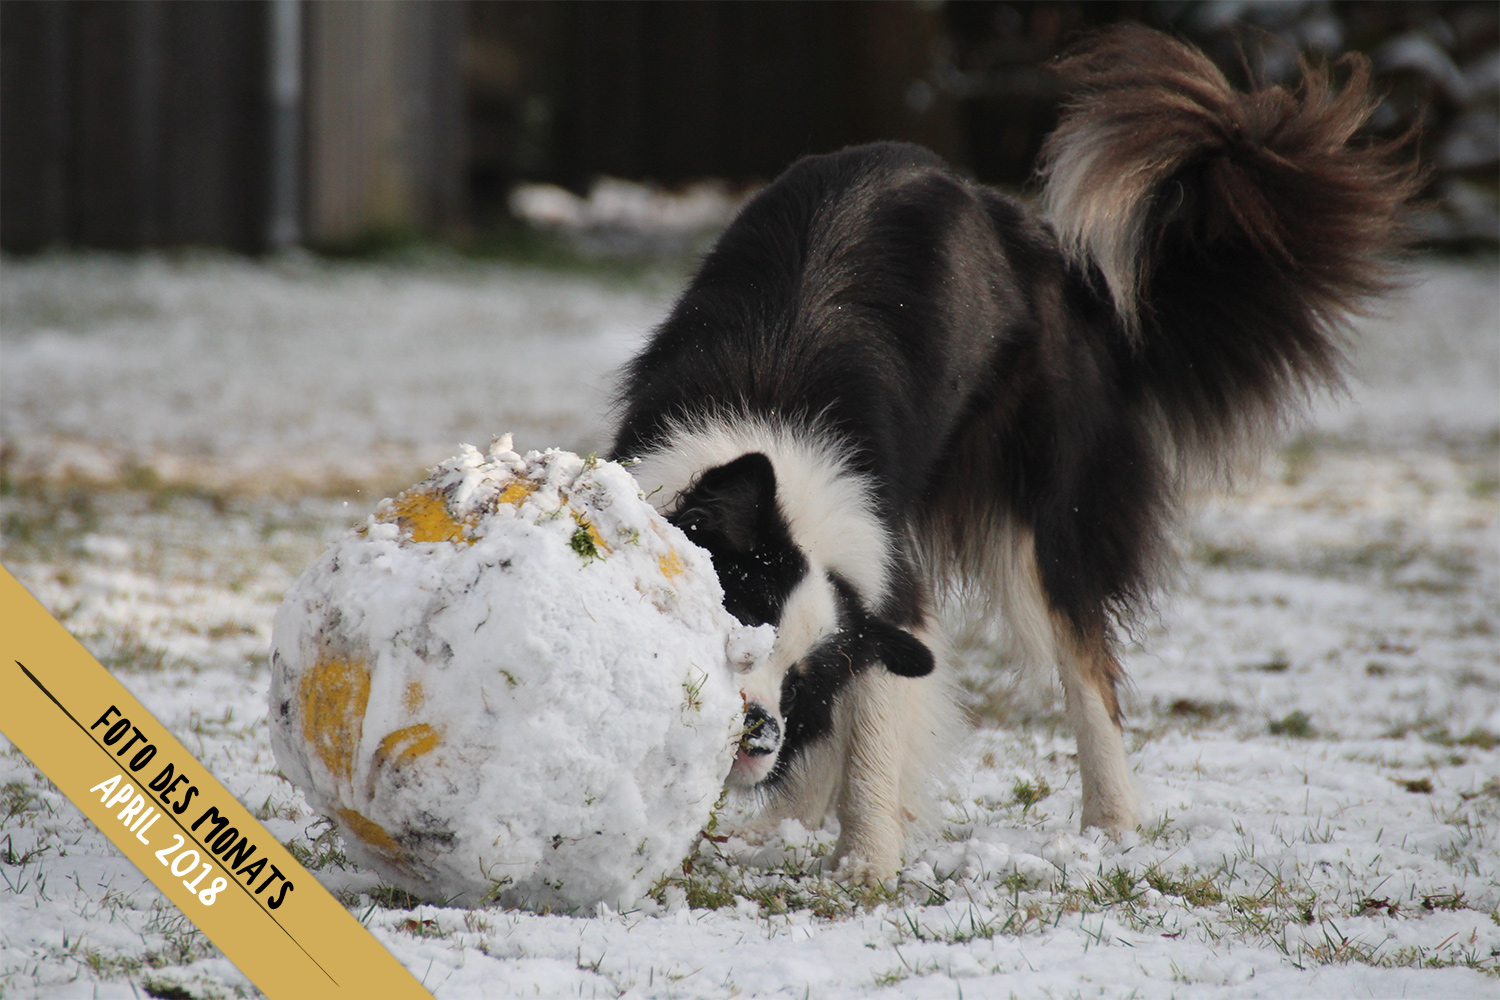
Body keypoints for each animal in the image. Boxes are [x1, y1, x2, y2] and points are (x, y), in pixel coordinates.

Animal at [606, 25, 1404, 881]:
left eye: (802, 677)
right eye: (743, 625)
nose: (761, 736)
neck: (775, 448)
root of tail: (1043, 242)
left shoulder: (888, 578)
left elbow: (878, 722)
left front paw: (865, 864)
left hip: (1051, 503)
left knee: (1089, 666)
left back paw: (1110, 823)